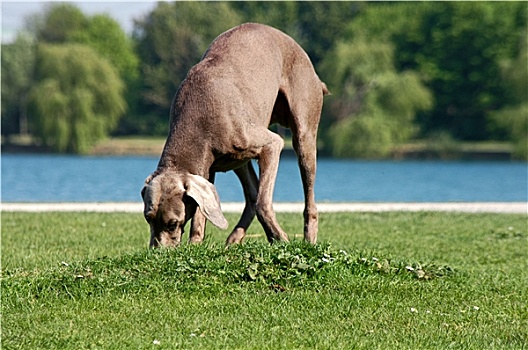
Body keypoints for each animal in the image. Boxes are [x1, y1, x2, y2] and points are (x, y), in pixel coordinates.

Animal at [142, 23, 328, 247]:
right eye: (148, 218)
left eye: (172, 223)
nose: (157, 251)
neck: (197, 122)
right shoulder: (206, 169)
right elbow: (202, 211)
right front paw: (195, 243)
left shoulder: (271, 144)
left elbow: (263, 202)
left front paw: (282, 239)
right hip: (238, 159)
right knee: (251, 195)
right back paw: (235, 238)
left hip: (304, 133)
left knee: (305, 197)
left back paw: (308, 239)